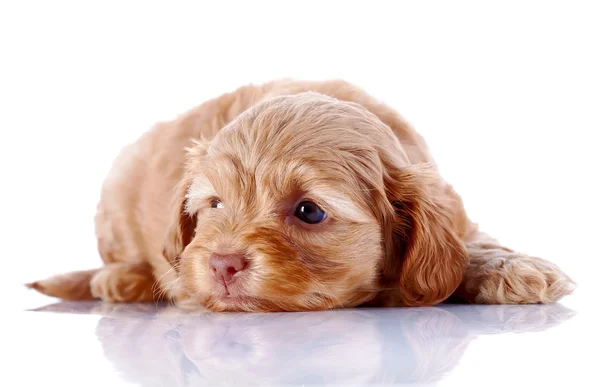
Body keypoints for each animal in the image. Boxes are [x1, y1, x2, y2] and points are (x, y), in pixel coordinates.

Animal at [29, 79, 576, 312]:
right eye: (214, 205)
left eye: (309, 211)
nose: (222, 264)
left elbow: (469, 246)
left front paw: (513, 267)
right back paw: (122, 279)